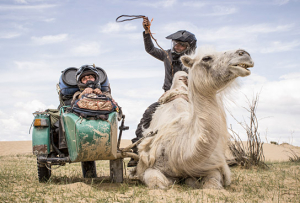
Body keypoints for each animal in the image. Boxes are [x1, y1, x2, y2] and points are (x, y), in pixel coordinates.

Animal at [134, 46, 253, 190]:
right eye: (206, 58)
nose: (244, 53)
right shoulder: (149, 165)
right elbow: (158, 183)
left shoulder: (212, 166)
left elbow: (213, 184)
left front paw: (193, 181)